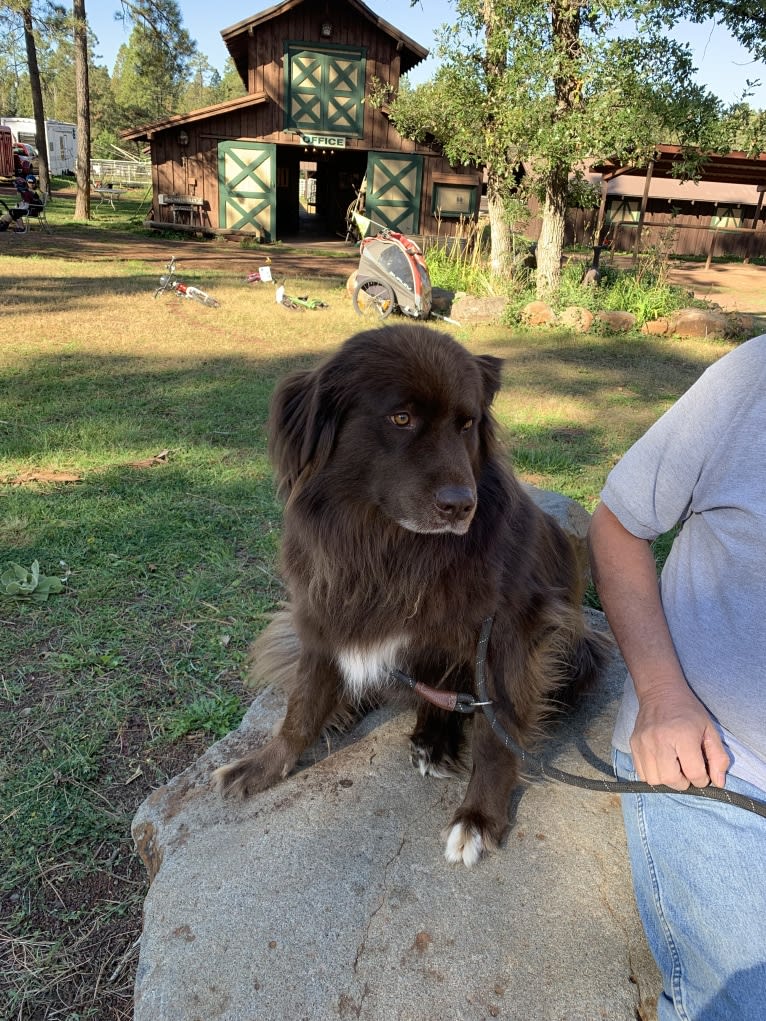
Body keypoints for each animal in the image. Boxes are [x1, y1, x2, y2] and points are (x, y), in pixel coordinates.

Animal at [216, 322, 612, 865]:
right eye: (400, 418)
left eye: (466, 424)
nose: (461, 506)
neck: (392, 546)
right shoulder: (323, 616)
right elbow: (302, 705)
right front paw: (264, 767)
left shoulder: (512, 635)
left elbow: (495, 739)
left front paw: (478, 818)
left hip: (577, 651)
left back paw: (433, 741)